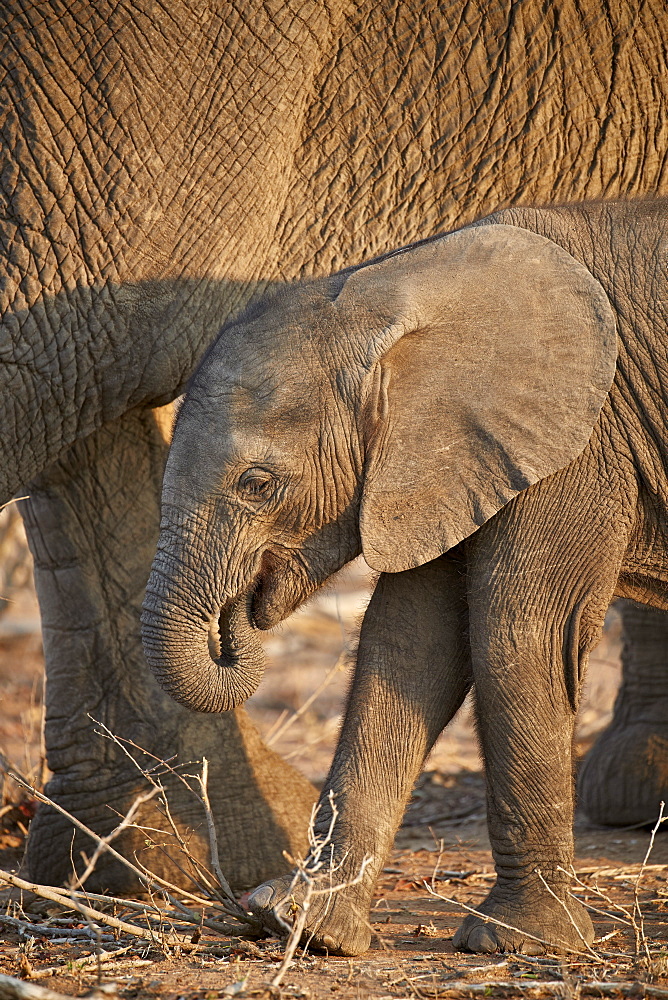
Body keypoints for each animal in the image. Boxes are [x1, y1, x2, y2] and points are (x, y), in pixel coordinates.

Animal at [142, 199, 668, 956]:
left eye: (258, 484)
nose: (238, 613)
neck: (388, 290)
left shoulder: (581, 441)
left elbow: (520, 638)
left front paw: (517, 941)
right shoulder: (446, 456)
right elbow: (410, 645)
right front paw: (303, 925)